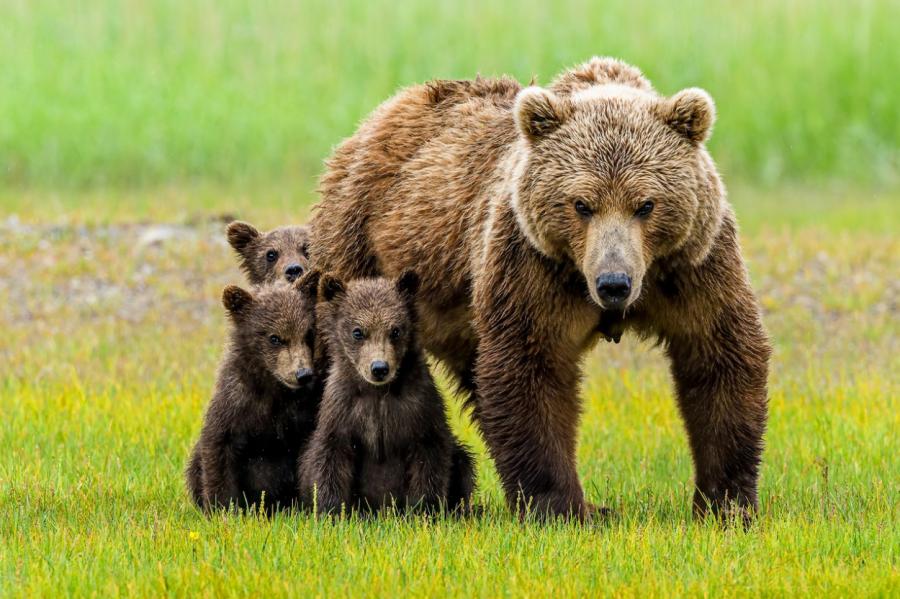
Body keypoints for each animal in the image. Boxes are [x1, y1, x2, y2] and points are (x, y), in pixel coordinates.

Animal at [185, 270, 324, 510]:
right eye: (274, 337)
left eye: (308, 334)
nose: (303, 374)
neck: (272, 387)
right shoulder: (235, 404)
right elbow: (218, 451)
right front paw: (222, 507)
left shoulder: (302, 413)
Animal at [298, 272, 478, 516]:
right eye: (357, 331)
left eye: (395, 330)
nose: (379, 368)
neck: (379, 393)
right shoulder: (343, 410)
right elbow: (331, 459)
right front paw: (332, 511)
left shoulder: (420, 409)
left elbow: (429, 460)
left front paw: (424, 509)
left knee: (463, 463)